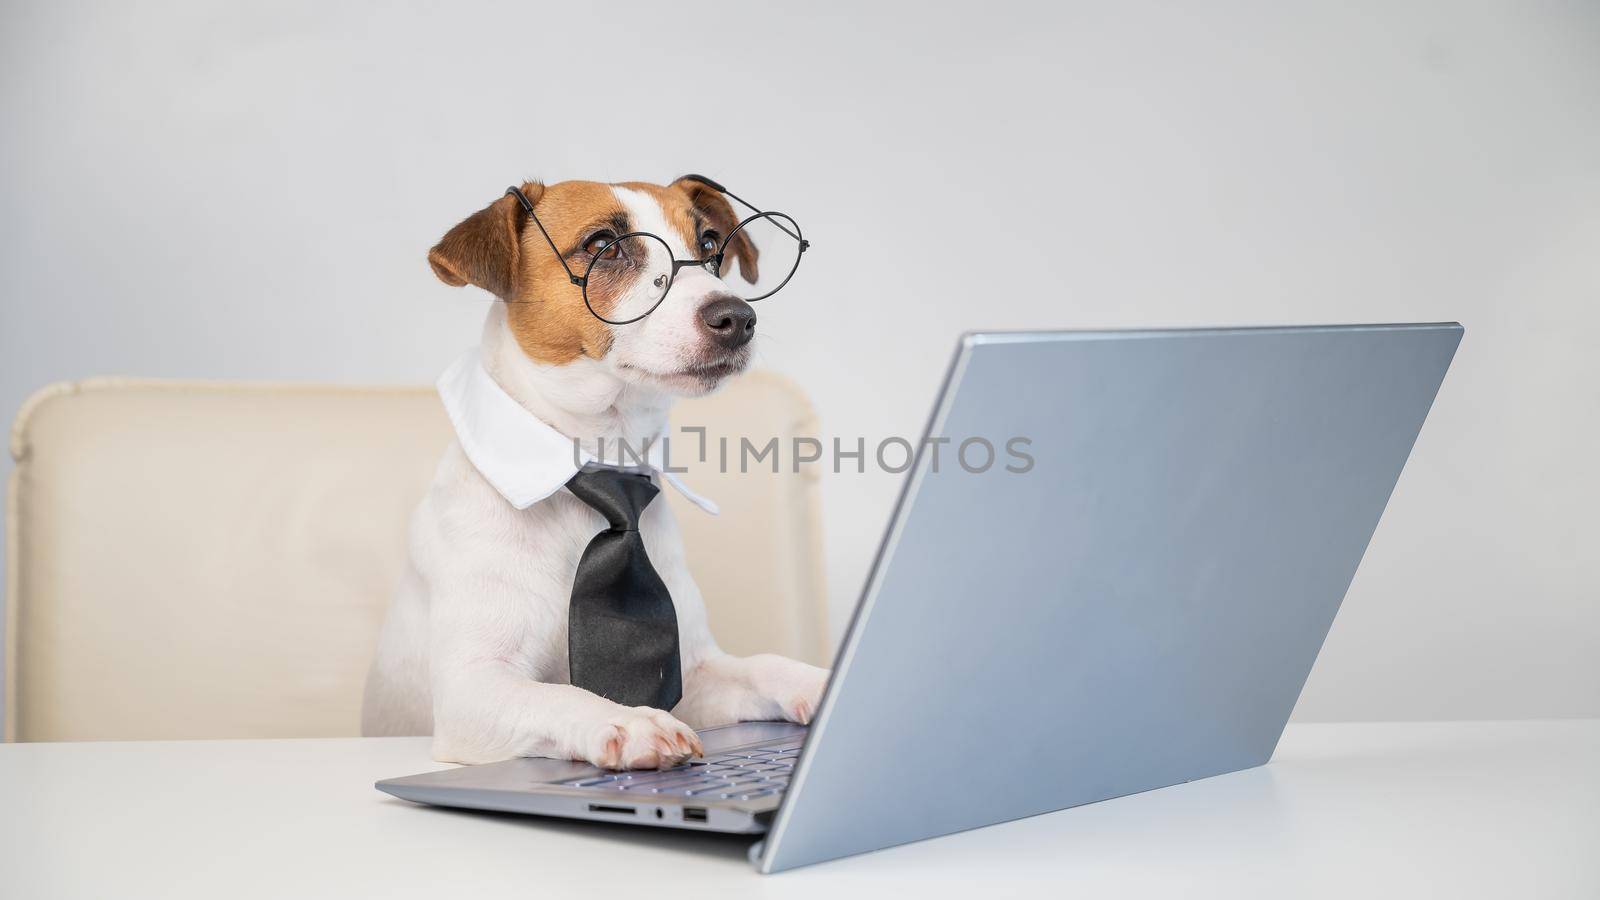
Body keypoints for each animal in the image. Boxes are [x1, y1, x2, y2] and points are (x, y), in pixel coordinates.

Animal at [364, 175, 832, 762]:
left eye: (709, 246)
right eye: (604, 245)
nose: (737, 318)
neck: (603, 452)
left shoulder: (696, 671)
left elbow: (765, 666)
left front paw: (825, 682)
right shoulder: (473, 688)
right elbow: (560, 695)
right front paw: (629, 720)